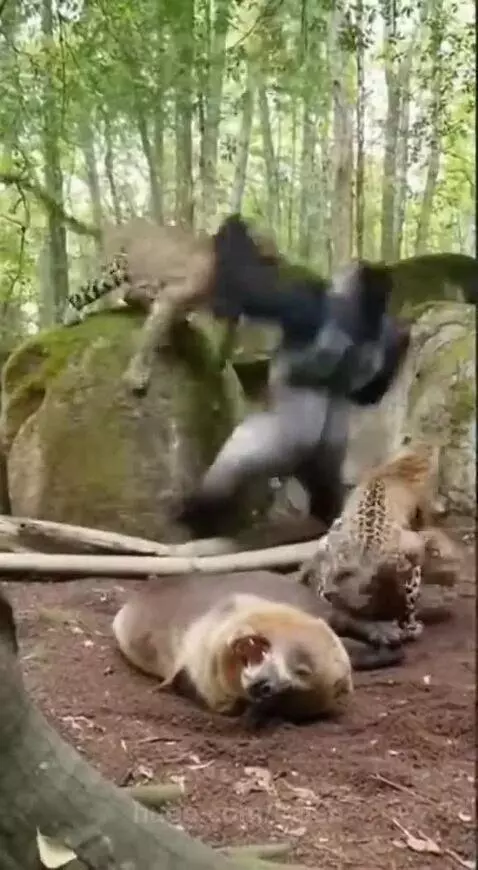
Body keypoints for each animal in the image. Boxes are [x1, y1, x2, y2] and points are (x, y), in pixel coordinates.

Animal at [112, 570, 406, 726]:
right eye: (300, 670)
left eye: (291, 690)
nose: (267, 686)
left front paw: (387, 647)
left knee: (344, 616)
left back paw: (385, 632)